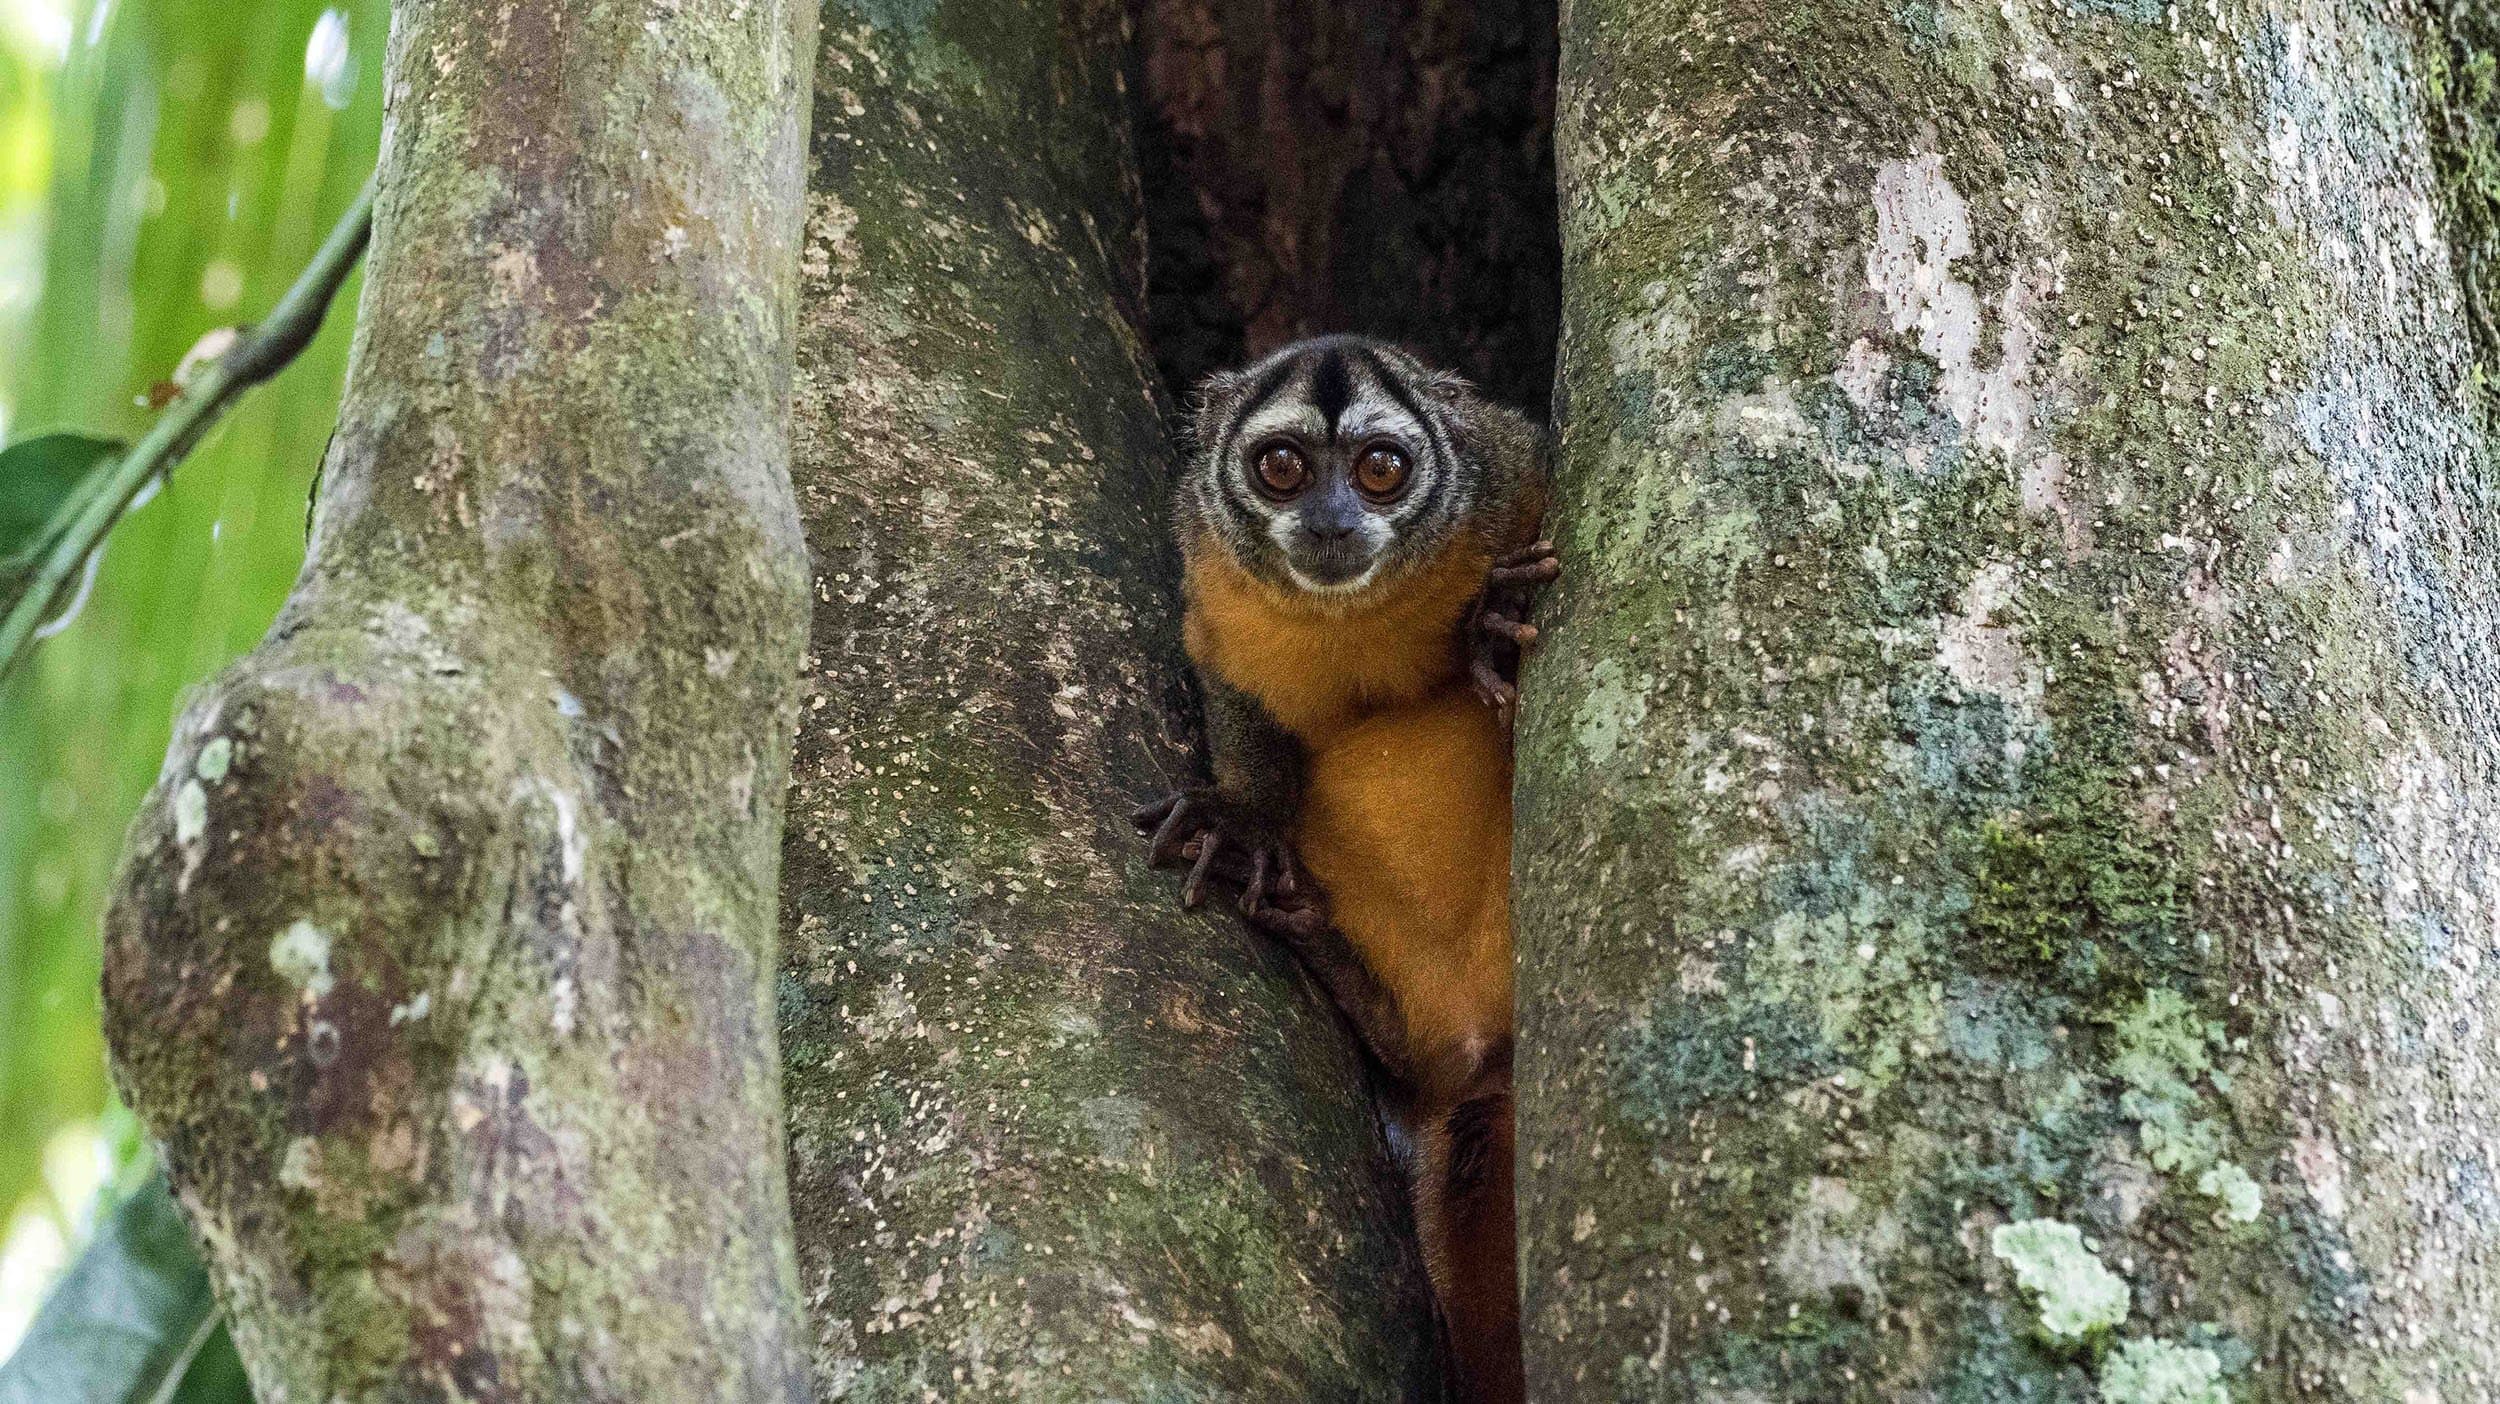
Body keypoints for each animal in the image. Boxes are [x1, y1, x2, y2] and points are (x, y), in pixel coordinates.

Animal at [1130, 335, 1557, 1404]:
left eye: (1380, 470)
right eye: (1283, 467)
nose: (1329, 520)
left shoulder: (1512, 475)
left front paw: (1496, 623)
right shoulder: (1215, 580)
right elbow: (1238, 695)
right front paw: (1241, 824)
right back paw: (1325, 949)